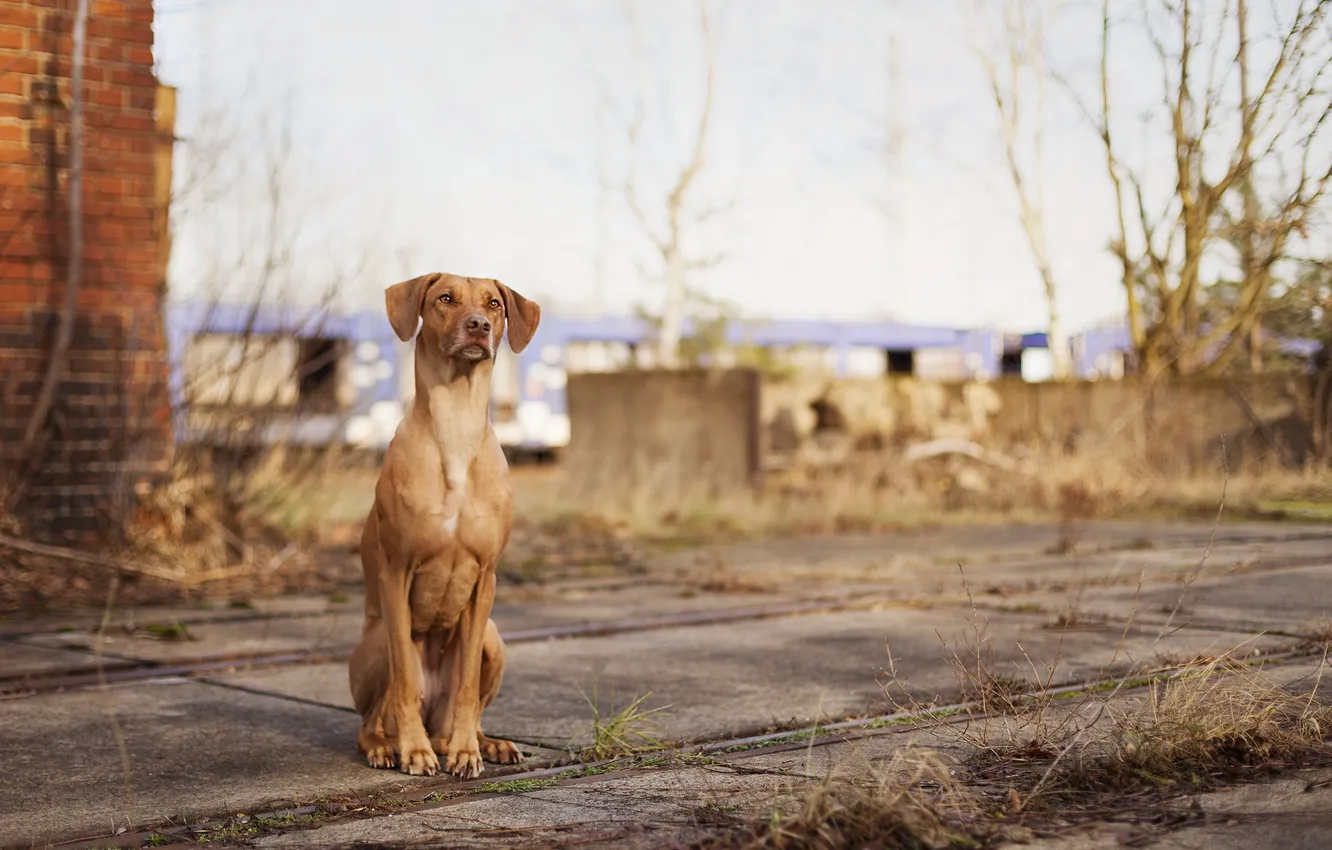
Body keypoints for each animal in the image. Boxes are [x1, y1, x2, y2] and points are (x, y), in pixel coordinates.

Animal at [351, 273, 543, 778]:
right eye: (445, 298)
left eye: (494, 304)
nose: (478, 325)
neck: (456, 427)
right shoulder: (396, 573)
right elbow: (403, 681)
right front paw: (414, 752)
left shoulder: (485, 580)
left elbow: (467, 688)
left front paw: (466, 751)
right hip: (377, 641)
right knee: (371, 718)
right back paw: (391, 746)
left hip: (493, 636)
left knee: (466, 705)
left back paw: (481, 742)